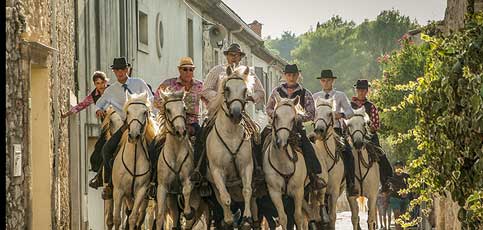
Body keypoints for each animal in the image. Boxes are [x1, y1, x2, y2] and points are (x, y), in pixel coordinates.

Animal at [111, 92, 157, 229]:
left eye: (144, 112)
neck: (133, 159)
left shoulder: (141, 191)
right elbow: (117, 219)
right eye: (128, 112)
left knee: (139, 216)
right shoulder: (118, 191)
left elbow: (133, 218)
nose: (134, 136)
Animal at [207, 64, 260, 228]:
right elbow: (225, 197)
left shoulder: (247, 166)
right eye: (227, 88)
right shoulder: (217, 171)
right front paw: (230, 219)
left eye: (245, 90)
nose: (236, 114)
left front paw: (247, 219)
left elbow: (247, 191)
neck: (230, 135)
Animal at [262, 95, 308, 230]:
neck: (283, 163)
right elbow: (283, 218)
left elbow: (298, 217)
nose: (281, 142)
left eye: (293, 119)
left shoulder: (298, 191)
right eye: (276, 116)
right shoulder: (274, 192)